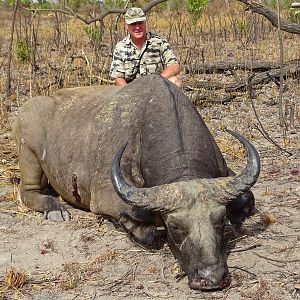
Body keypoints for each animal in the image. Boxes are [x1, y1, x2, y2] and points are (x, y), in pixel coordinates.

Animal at [12, 74, 258, 290]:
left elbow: (248, 198)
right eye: (175, 227)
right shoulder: (104, 195)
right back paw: (55, 209)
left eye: (220, 220)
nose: (211, 277)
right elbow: (143, 229)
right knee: (28, 192)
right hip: (28, 151)